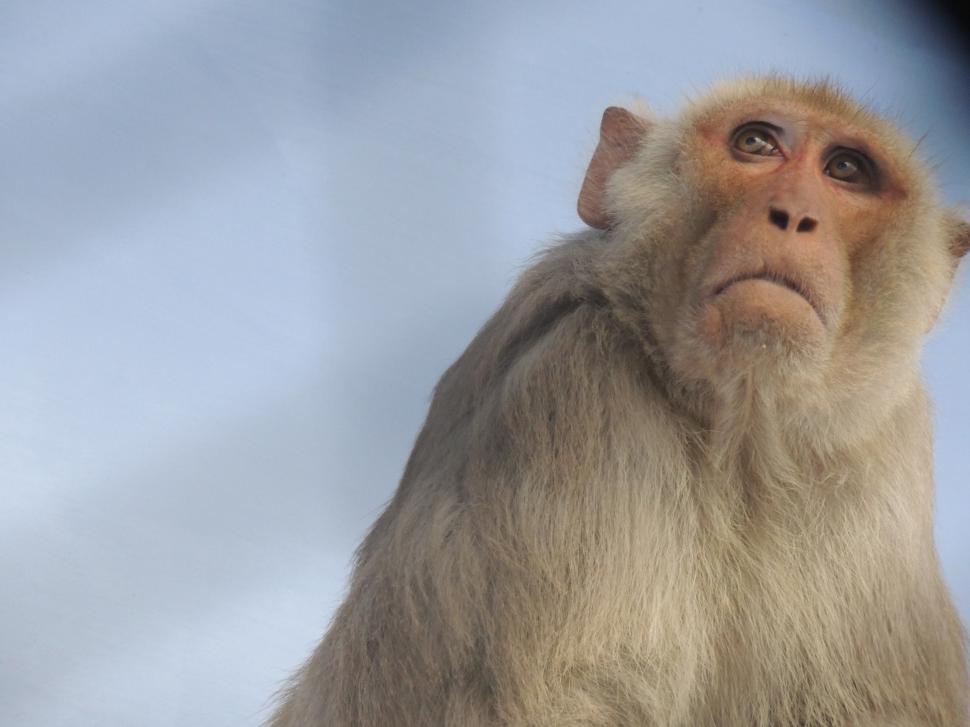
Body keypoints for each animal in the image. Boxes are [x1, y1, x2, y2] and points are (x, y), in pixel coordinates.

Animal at [271, 77, 970, 726]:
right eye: (756, 143)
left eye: (846, 170)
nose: (794, 213)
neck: (736, 437)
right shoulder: (578, 394)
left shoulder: (881, 447)